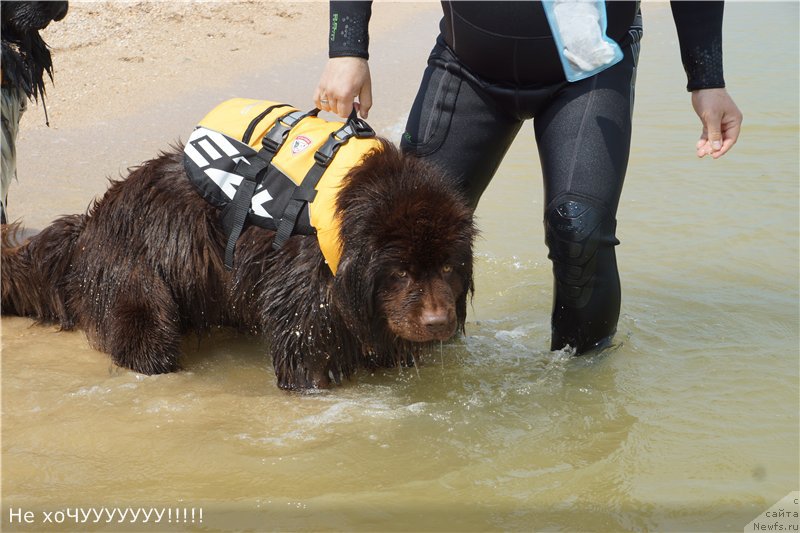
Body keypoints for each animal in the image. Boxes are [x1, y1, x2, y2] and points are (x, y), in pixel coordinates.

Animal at [0, 139, 476, 388]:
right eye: (400, 272)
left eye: (448, 269)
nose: (438, 323)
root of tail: (91, 220)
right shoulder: (304, 304)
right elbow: (306, 360)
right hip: (137, 282)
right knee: (144, 337)